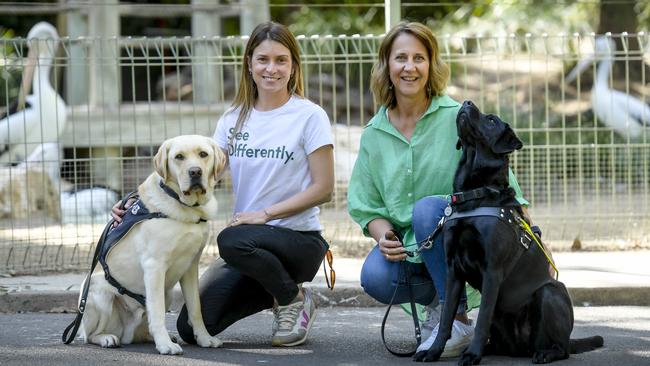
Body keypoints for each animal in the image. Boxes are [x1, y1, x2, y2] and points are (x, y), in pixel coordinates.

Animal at [79, 134, 225, 354]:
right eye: (179, 157)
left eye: (203, 154)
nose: (195, 171)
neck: (185, 207)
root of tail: (127, 334)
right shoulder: (154, 266)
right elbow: (156, 313)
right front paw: (165, 345)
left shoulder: (191, 266)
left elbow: (195, 308)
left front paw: (204, 338)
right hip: (98, 294)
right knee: (90, 335)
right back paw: (108, 338)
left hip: (168, 293)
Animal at [412, 101, 600, 366]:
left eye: (491, 120)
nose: (467, 102)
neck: (475, 194)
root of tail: (522, 348)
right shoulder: (453, 271)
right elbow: (447, 316)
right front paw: (434, 351)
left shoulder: (492, 270)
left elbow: (481, 320)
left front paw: (471, 356)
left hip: (551, 292)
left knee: (561, 347)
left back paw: (545, 353)